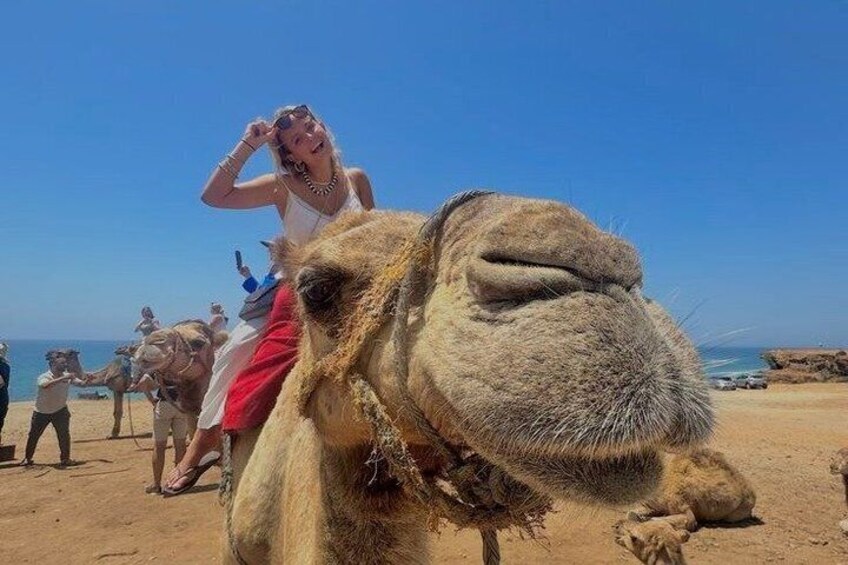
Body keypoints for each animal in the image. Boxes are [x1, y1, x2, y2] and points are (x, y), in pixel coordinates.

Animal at [614, 447, 756, 564]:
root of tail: (751, 494)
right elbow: (632, 513)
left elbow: (683, 520)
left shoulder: (683, 507)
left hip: (734, 514)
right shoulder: (652, 505)